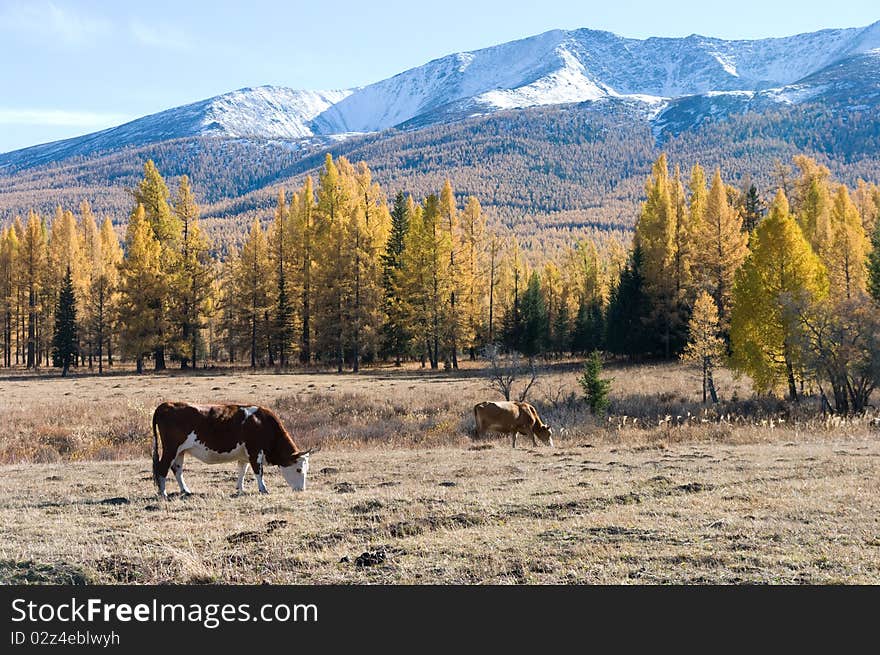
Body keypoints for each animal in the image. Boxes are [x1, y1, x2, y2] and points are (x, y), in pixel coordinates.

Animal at [151, 402, 316, 500]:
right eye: (299, 469)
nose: (301, 490)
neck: (262, 423)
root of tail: (167, 404)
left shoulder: (244, 455)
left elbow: (242, 470)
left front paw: (240, 488)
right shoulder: (255, 451)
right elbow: (258, 471)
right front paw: (263, 489)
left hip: (180, 451)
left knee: (177, 469)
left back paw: (185, 490)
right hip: (171, 449)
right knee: (162, 468)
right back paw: (163, 493)